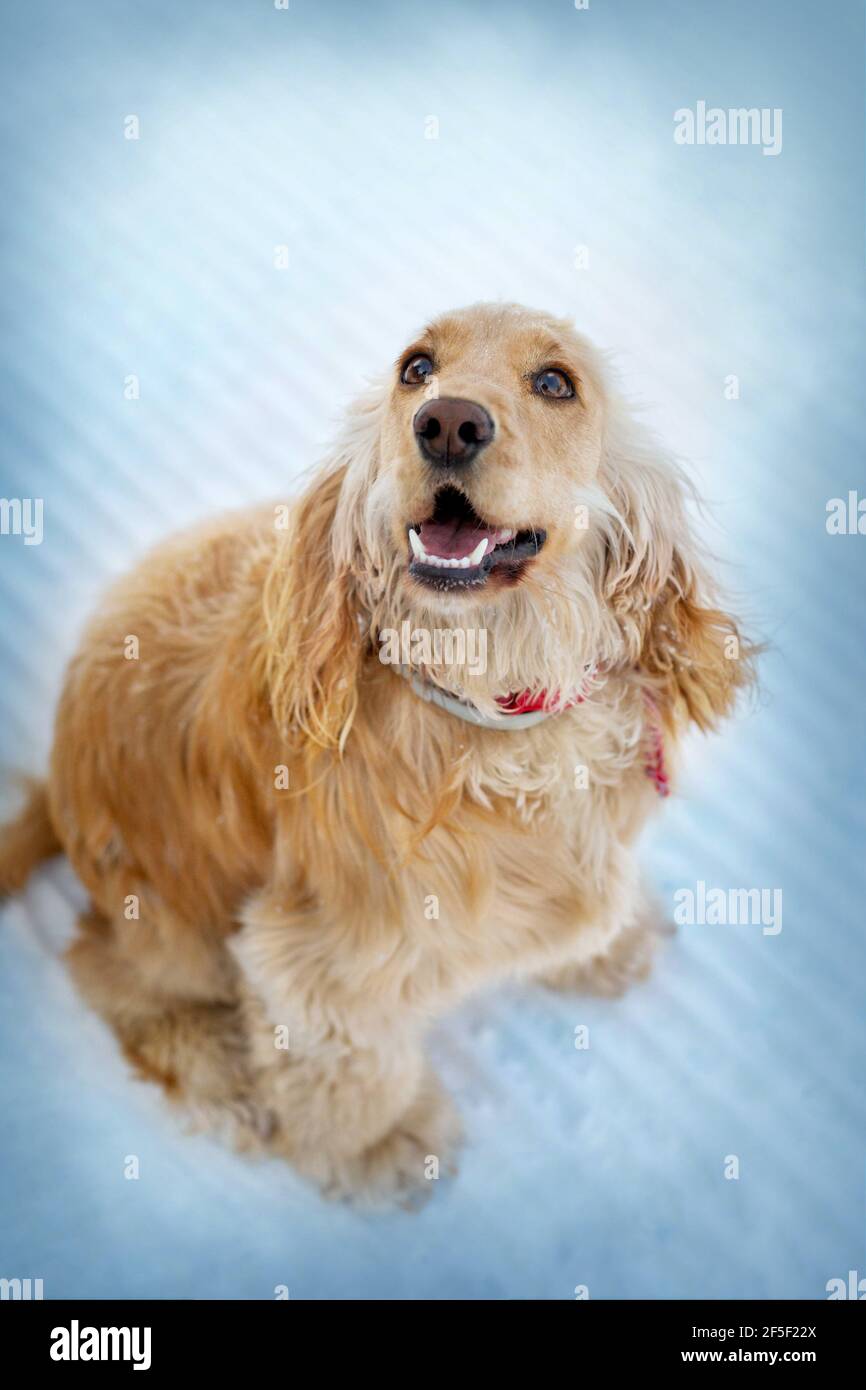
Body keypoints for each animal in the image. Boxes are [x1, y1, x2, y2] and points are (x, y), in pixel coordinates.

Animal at [0, 304, 756, 1206]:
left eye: (555, 382)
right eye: (415, 368)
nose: (449, 422)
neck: (493, 704)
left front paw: (611, 941)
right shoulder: (322, 958)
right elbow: (346, 1063)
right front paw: (381, 1145)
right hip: (165, 919)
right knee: (113, 977)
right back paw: (225, 1078)